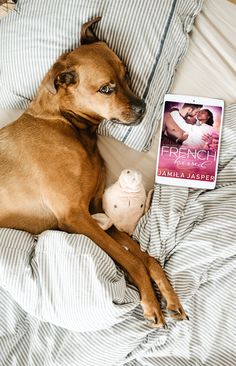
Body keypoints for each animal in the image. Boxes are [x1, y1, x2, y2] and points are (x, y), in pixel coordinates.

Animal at [0, 16, 188, 326]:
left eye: (126, 75)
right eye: (106, 89)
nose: (144, 107)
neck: (66, 125)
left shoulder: (97, 209)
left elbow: (146, 257)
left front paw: (169, 296)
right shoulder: (75, 216)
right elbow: (132, 260)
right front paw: (150, 302)